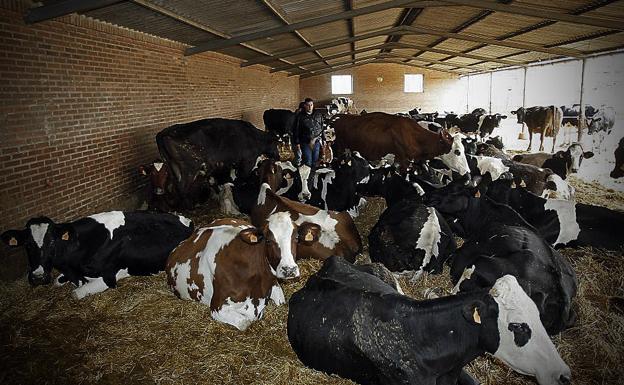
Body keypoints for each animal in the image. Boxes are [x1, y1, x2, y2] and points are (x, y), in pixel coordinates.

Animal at [1, 210, 194, 296]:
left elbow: (76, 293)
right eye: (27, 244)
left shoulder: (108, 277)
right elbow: (57, 281)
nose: (38, 277)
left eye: (52, 241)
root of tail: (185, 218)